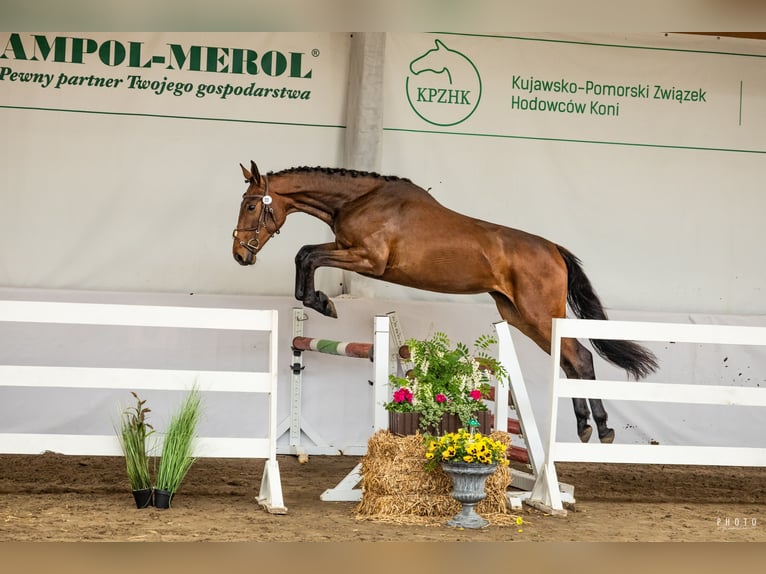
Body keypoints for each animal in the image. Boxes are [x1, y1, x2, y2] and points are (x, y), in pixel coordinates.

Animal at [232, 161, 658, 443]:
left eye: (251, 205)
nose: (240, 254)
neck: (360, 200)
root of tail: (554, 249)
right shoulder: (349, 251)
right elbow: (306, 254)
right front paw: (317, 299)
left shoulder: (368, 259)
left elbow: (307, 254)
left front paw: (321, 302)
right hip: (518, 315)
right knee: (569, 360)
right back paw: (585, 426)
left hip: (538, 312)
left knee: (580, 357)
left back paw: (600, 427)